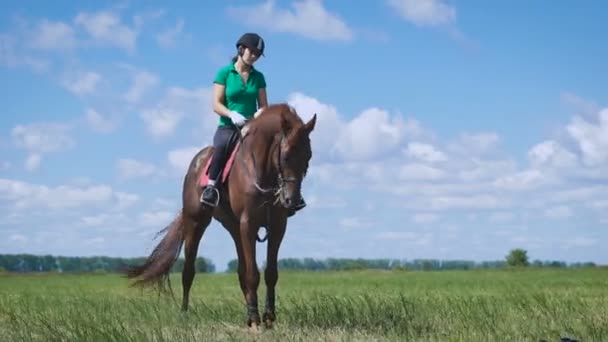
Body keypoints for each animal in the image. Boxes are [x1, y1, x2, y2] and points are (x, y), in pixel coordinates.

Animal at [127, 102, 318, 328]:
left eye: (308, 157)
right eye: (286, 155)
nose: (292, 200)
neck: (263, 173)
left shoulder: (277, 226)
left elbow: (271, 273)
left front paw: (268, 318)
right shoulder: (248, 223)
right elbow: (253, 274)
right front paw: (256, 320)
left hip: (234, 227)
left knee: (240, 271)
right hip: (196, 223)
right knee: (188, 271)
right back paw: (184, 313)